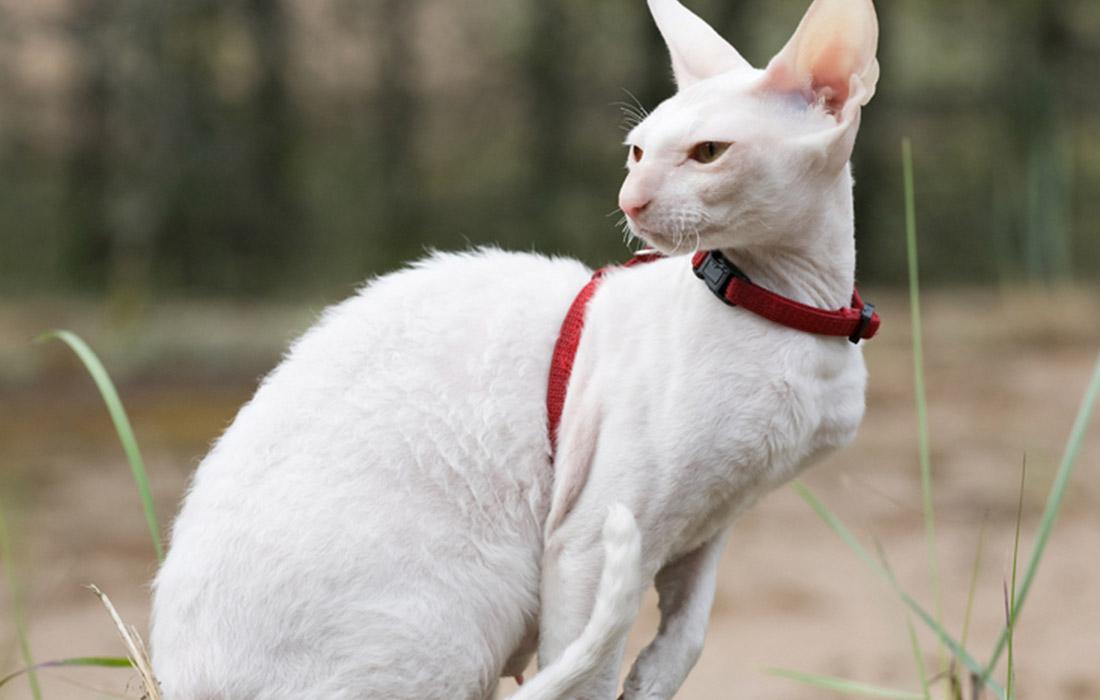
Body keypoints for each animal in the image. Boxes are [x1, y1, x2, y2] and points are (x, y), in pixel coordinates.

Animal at [150, 0, 880, 695]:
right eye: (637, 152)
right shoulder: (590, 538)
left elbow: (689, 633)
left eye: (708, 153)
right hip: (460, 607)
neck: (791, 310)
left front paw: (651, 679)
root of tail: (178, 679)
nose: (630, 201)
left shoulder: (713, 519)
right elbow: (588, 675)